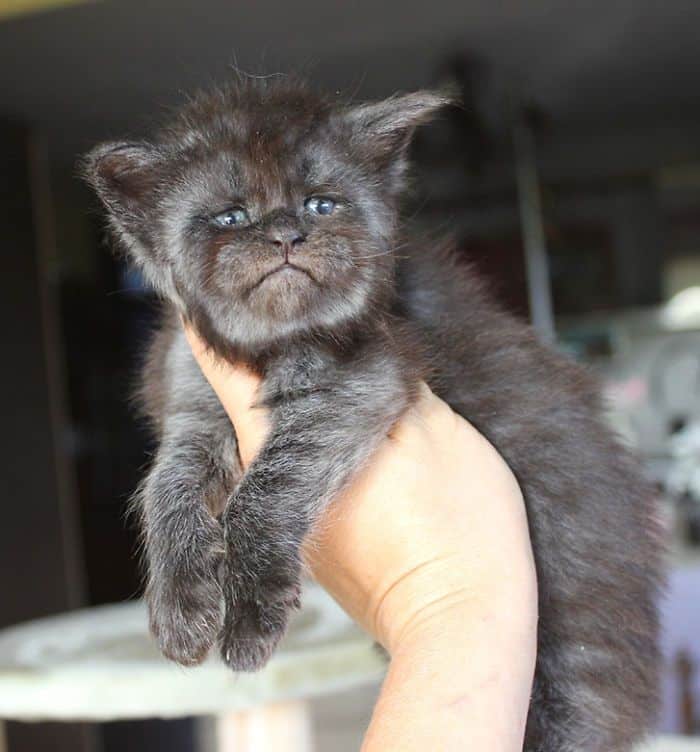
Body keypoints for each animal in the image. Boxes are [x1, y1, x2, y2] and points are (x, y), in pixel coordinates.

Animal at [82, 78, 660, 752]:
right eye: (231, 217)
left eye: (321, 205)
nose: (286, 235)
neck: (274, 347)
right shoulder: (194, 402)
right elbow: (165, 487)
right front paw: (180, 607)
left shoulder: (362, 381)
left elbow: (264, 491)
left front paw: (250, 615)